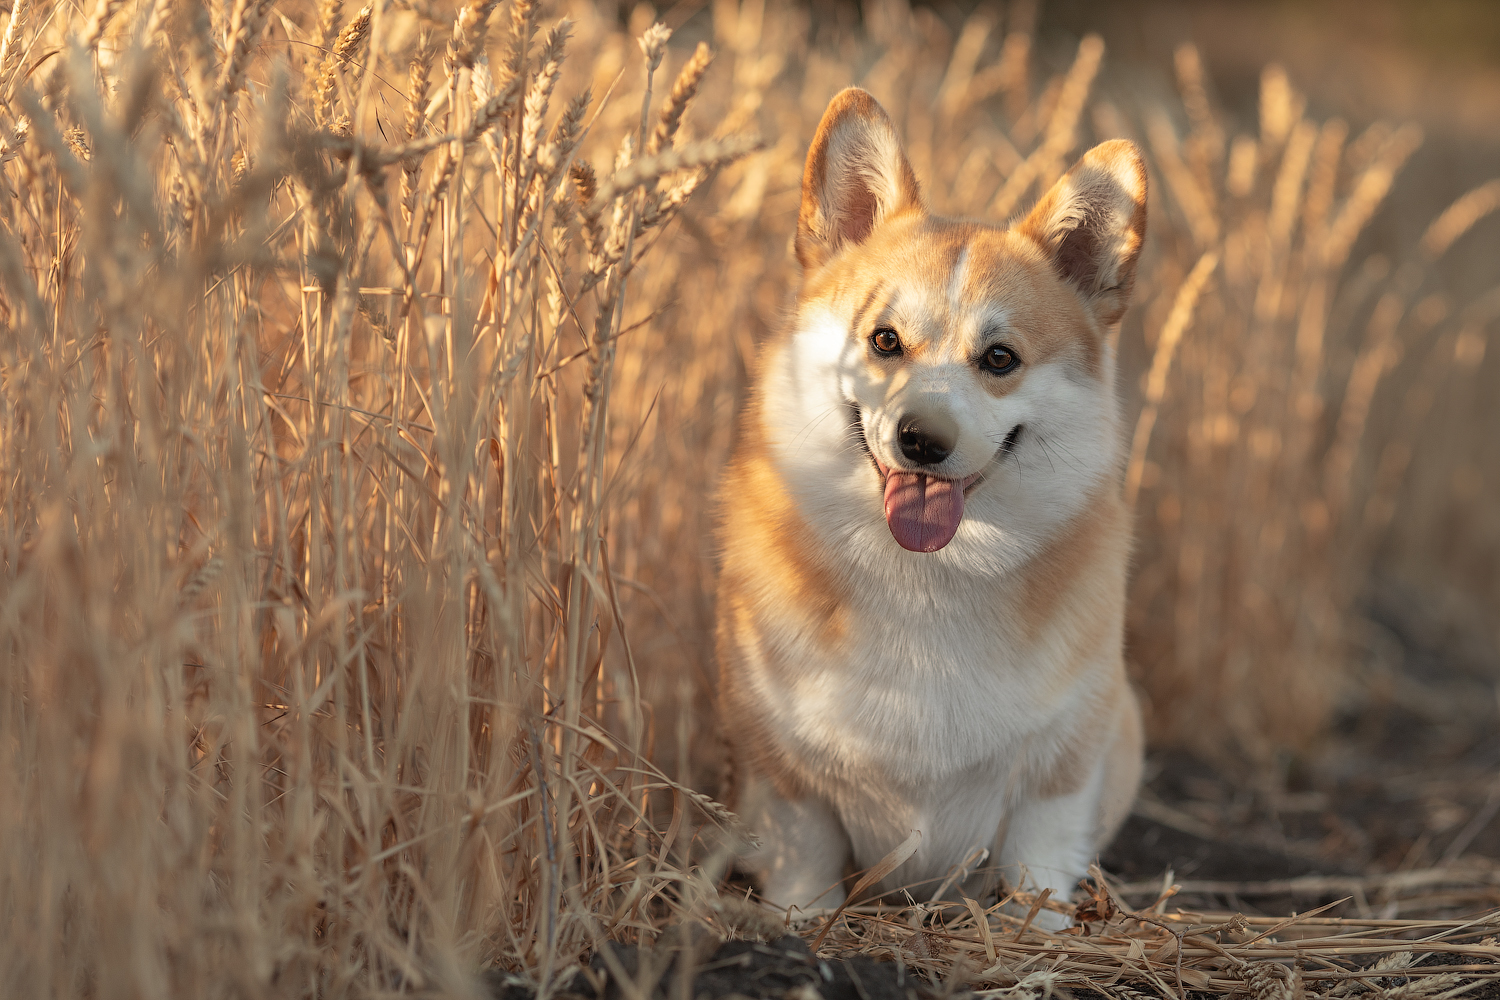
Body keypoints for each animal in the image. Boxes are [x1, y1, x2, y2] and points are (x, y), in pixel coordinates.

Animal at [714, 88, 1146, 923]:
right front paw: (799, 926)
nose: (921, 441)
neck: (927, 578)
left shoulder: (1061, 771)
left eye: (1000, 359)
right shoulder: (784, 773)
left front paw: (1039, 932)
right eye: (884, 340)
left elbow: (1037, 870)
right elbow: (803, 864)